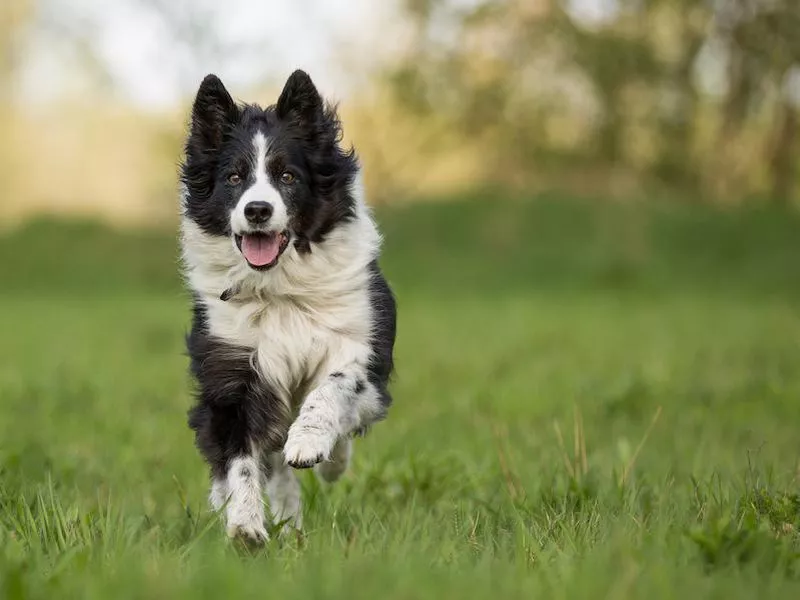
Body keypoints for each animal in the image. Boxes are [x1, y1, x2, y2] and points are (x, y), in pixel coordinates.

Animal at [179, 70, 396, 544]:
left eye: (287, 176)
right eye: (234, 177)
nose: (258, 210)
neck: (279, 287)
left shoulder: (362, 347)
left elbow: (334, 387)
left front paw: (311, 443)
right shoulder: (233, 371)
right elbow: (240, 460)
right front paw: (245, 526)